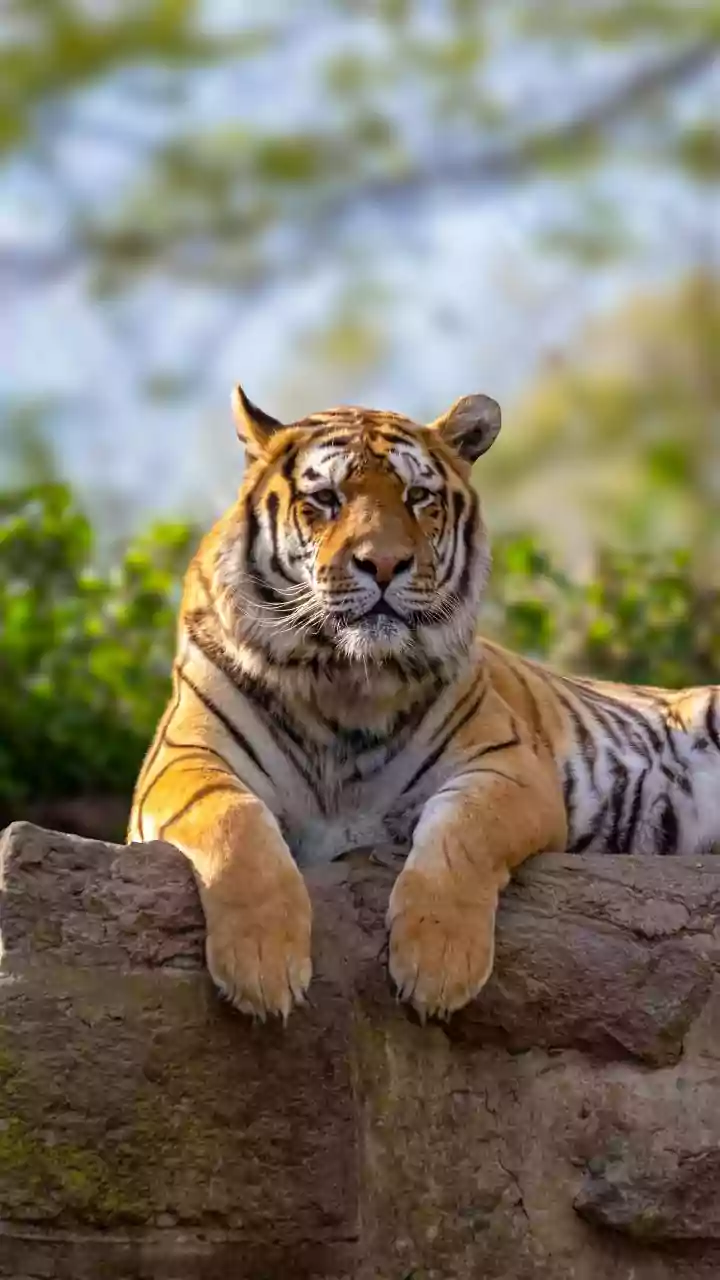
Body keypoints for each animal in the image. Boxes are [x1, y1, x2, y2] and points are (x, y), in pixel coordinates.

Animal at [128, 386, 720, 1021]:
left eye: (417, 497)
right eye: (326, 499)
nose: (384, 564)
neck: (345, 679)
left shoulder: (509, 766)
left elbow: (461, 833)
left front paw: (438, 964)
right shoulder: (181, 760)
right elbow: (233, 821)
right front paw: (260, 965)